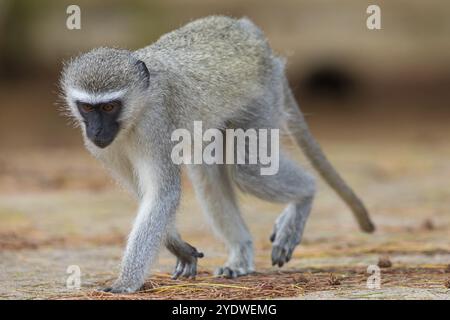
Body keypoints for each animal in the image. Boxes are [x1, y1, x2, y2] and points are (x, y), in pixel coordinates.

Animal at [60, 16, 376, 294]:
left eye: (109, 107)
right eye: (87, 108)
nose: (97, 130)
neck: (136, 112)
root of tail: (251, 33)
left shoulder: (155, 126)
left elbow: (162, 195)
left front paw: (126, 283)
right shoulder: (103, 147)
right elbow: (147, 195)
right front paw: (179, 247)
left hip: (261, 100)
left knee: (249, 170)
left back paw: (305, 194)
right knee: (207, 172)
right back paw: (241, 255)